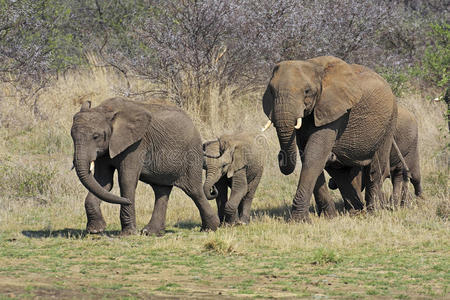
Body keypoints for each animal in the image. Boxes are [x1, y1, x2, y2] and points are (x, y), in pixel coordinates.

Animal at [70, 97, 220, 236]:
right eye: (72, 136)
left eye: (96, 136)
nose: (127, 201)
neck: (106, 110)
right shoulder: (106, 149)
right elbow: (103, 182)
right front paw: (95, 230)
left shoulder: (136, 144)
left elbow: (126, 180)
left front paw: (128, 234)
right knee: (161, 191)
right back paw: (150, 232)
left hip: (192, 155)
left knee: (194, 191)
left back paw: (210, 229)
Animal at [264, 56, 398, 221]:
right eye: (271, 91)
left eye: (307, 91)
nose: (279, 156)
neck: (313, 66)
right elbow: (307, 155)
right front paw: (328, 217)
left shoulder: (335, 111)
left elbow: (314, 155)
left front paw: (298, 220)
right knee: (341, 174)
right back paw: (355, 211)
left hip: (389, 122)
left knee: (376, 168)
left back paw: (373, 211)